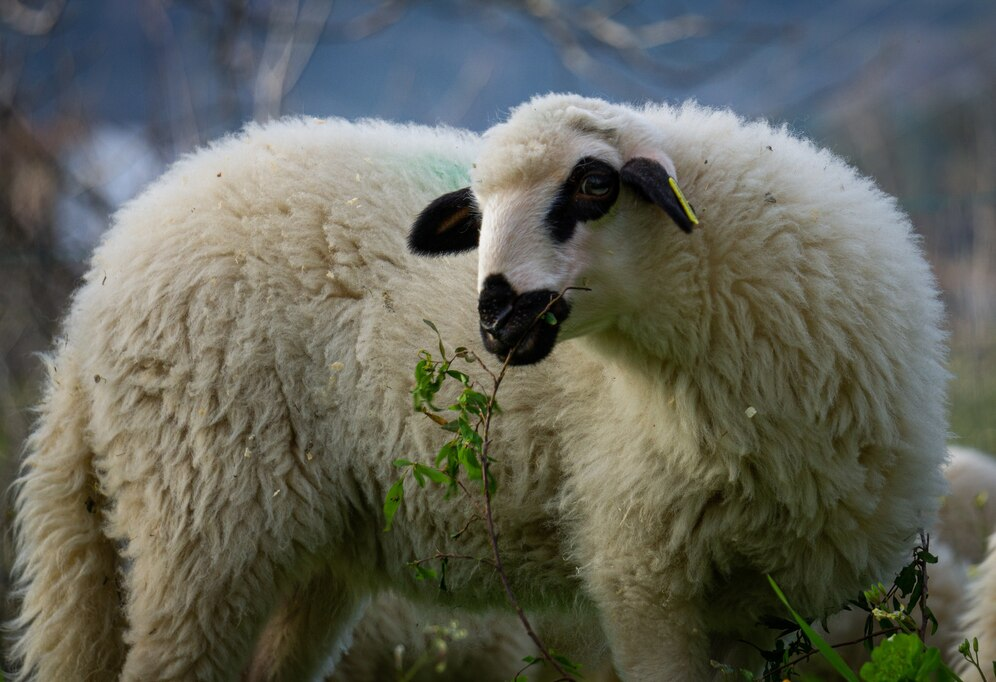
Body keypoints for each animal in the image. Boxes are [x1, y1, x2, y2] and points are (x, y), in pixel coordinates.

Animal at [9, 91, 948, 680]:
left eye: (595, 185)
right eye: (478, 209)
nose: (494, 319)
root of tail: (101, 278)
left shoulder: (757, 603)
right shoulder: (641, 568)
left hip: (306, 546)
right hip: (203, 518)